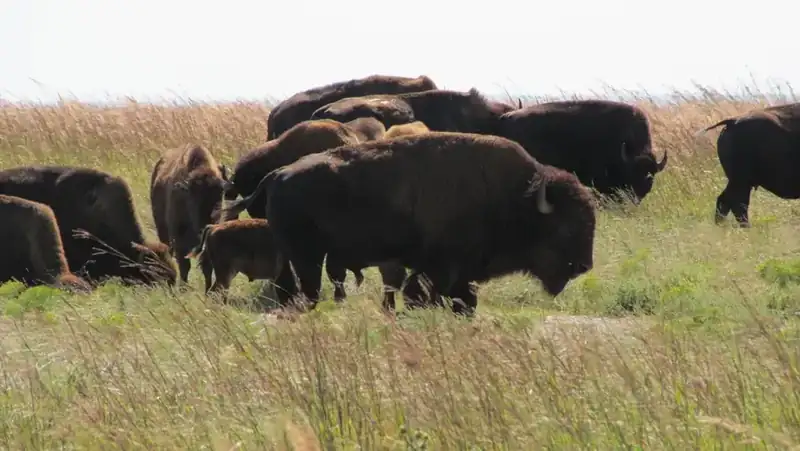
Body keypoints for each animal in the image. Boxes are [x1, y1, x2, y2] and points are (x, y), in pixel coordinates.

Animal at [150, 144, 236, 285]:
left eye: (220, 195)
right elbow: (185, 266)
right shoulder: (179, 240)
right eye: (192, 198)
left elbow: (207, 267)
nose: (206, 222)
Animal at [257, 131, 597, 316]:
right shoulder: (441, 267)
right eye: (567, 226)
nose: (584, 266)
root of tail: (278, 174)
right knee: (309, 289)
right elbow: (429, 295)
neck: (515, 197)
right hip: (307, 257)